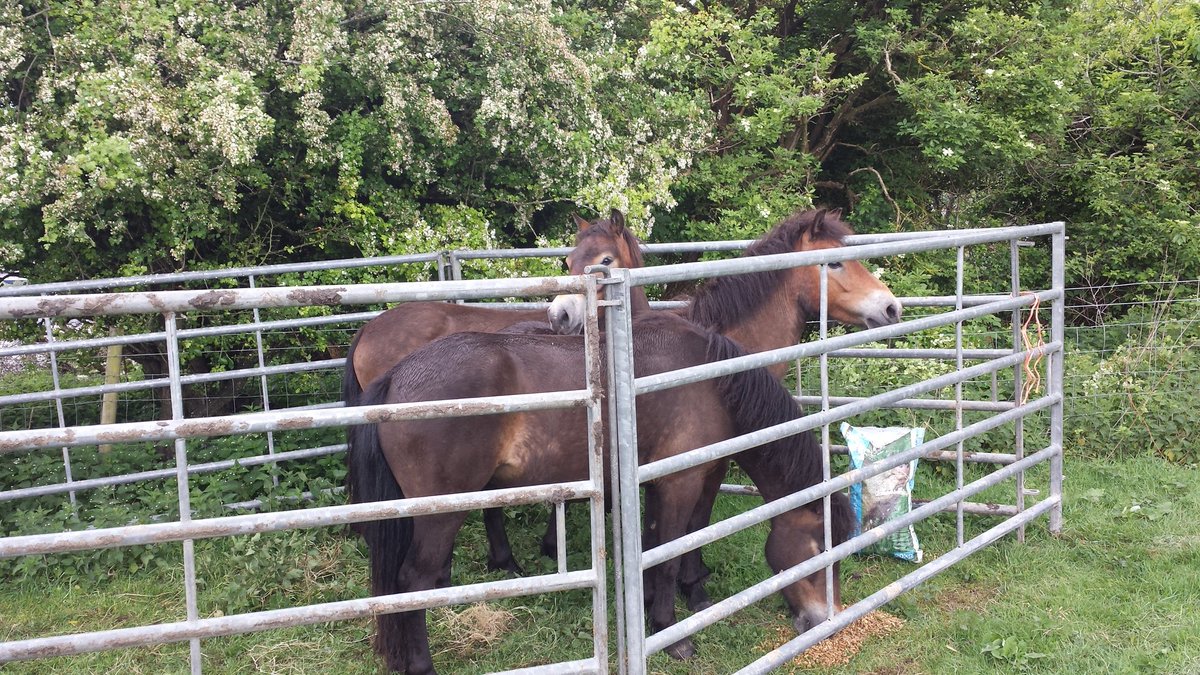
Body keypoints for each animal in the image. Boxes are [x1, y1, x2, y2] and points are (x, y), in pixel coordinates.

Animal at [347, 310, 856, 674]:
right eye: (818, 547)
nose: (826, 620)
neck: (712, 381)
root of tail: (398, 378)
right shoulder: (680, 482)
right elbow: (669, 553)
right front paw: (673, 634)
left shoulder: (674, 479)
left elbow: (668, 542)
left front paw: (671, 603)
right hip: (442, 512)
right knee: (411, 582)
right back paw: (422, 664)